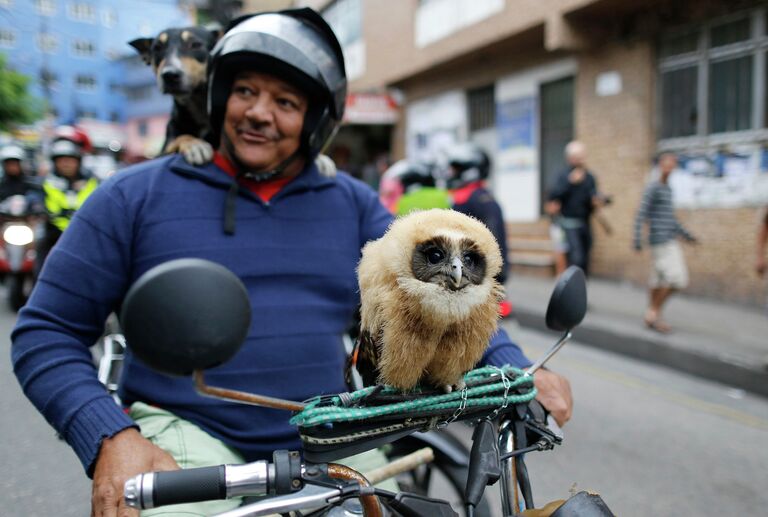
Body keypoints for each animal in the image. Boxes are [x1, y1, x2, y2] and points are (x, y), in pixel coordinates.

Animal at [129, 26, 219, 163]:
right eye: (157, 48)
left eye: (196, 44)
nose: (169, 75)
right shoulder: (162, 151)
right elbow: (180, 137)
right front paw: (194, 144)